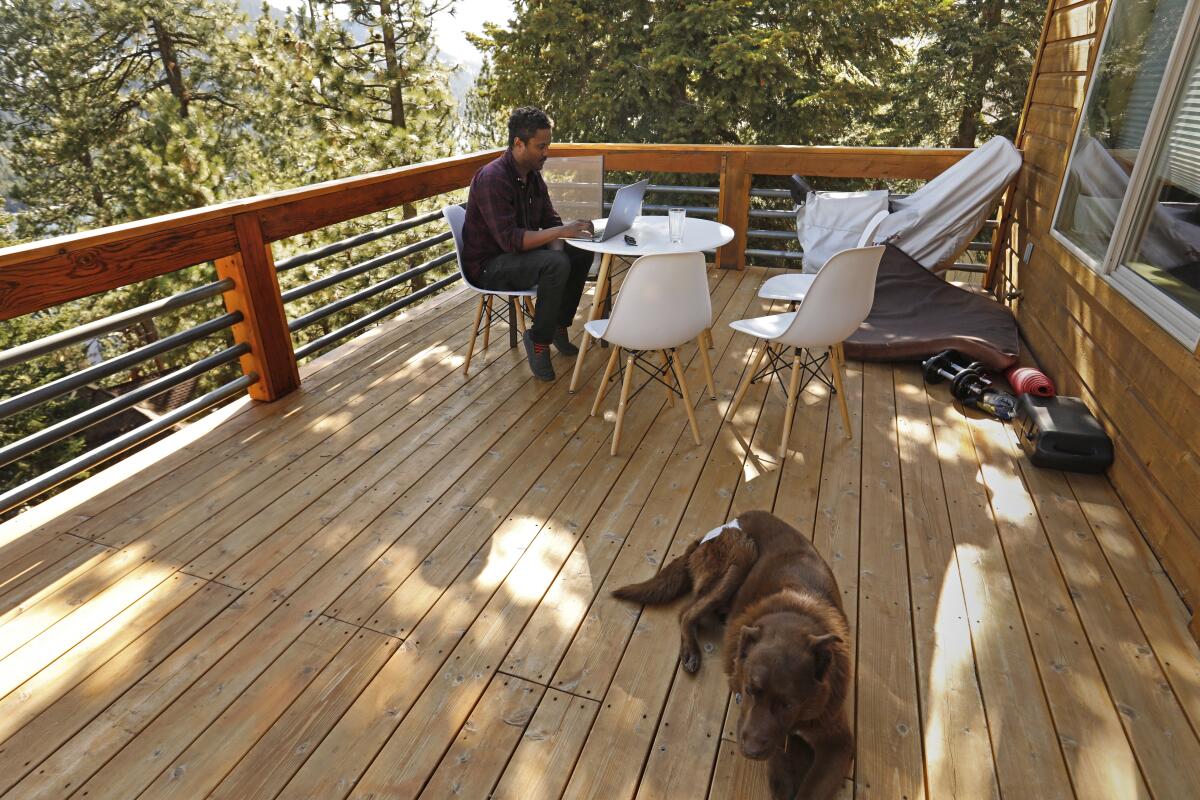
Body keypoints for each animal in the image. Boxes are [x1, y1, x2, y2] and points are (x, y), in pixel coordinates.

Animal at [609, 513, 854, 800]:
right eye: (750, 690)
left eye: (788, 705)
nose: (750, 751)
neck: (795, 611)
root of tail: (713, 532)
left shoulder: (836, 742)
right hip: (743, 553)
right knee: (686, 613)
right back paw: (691, 652)